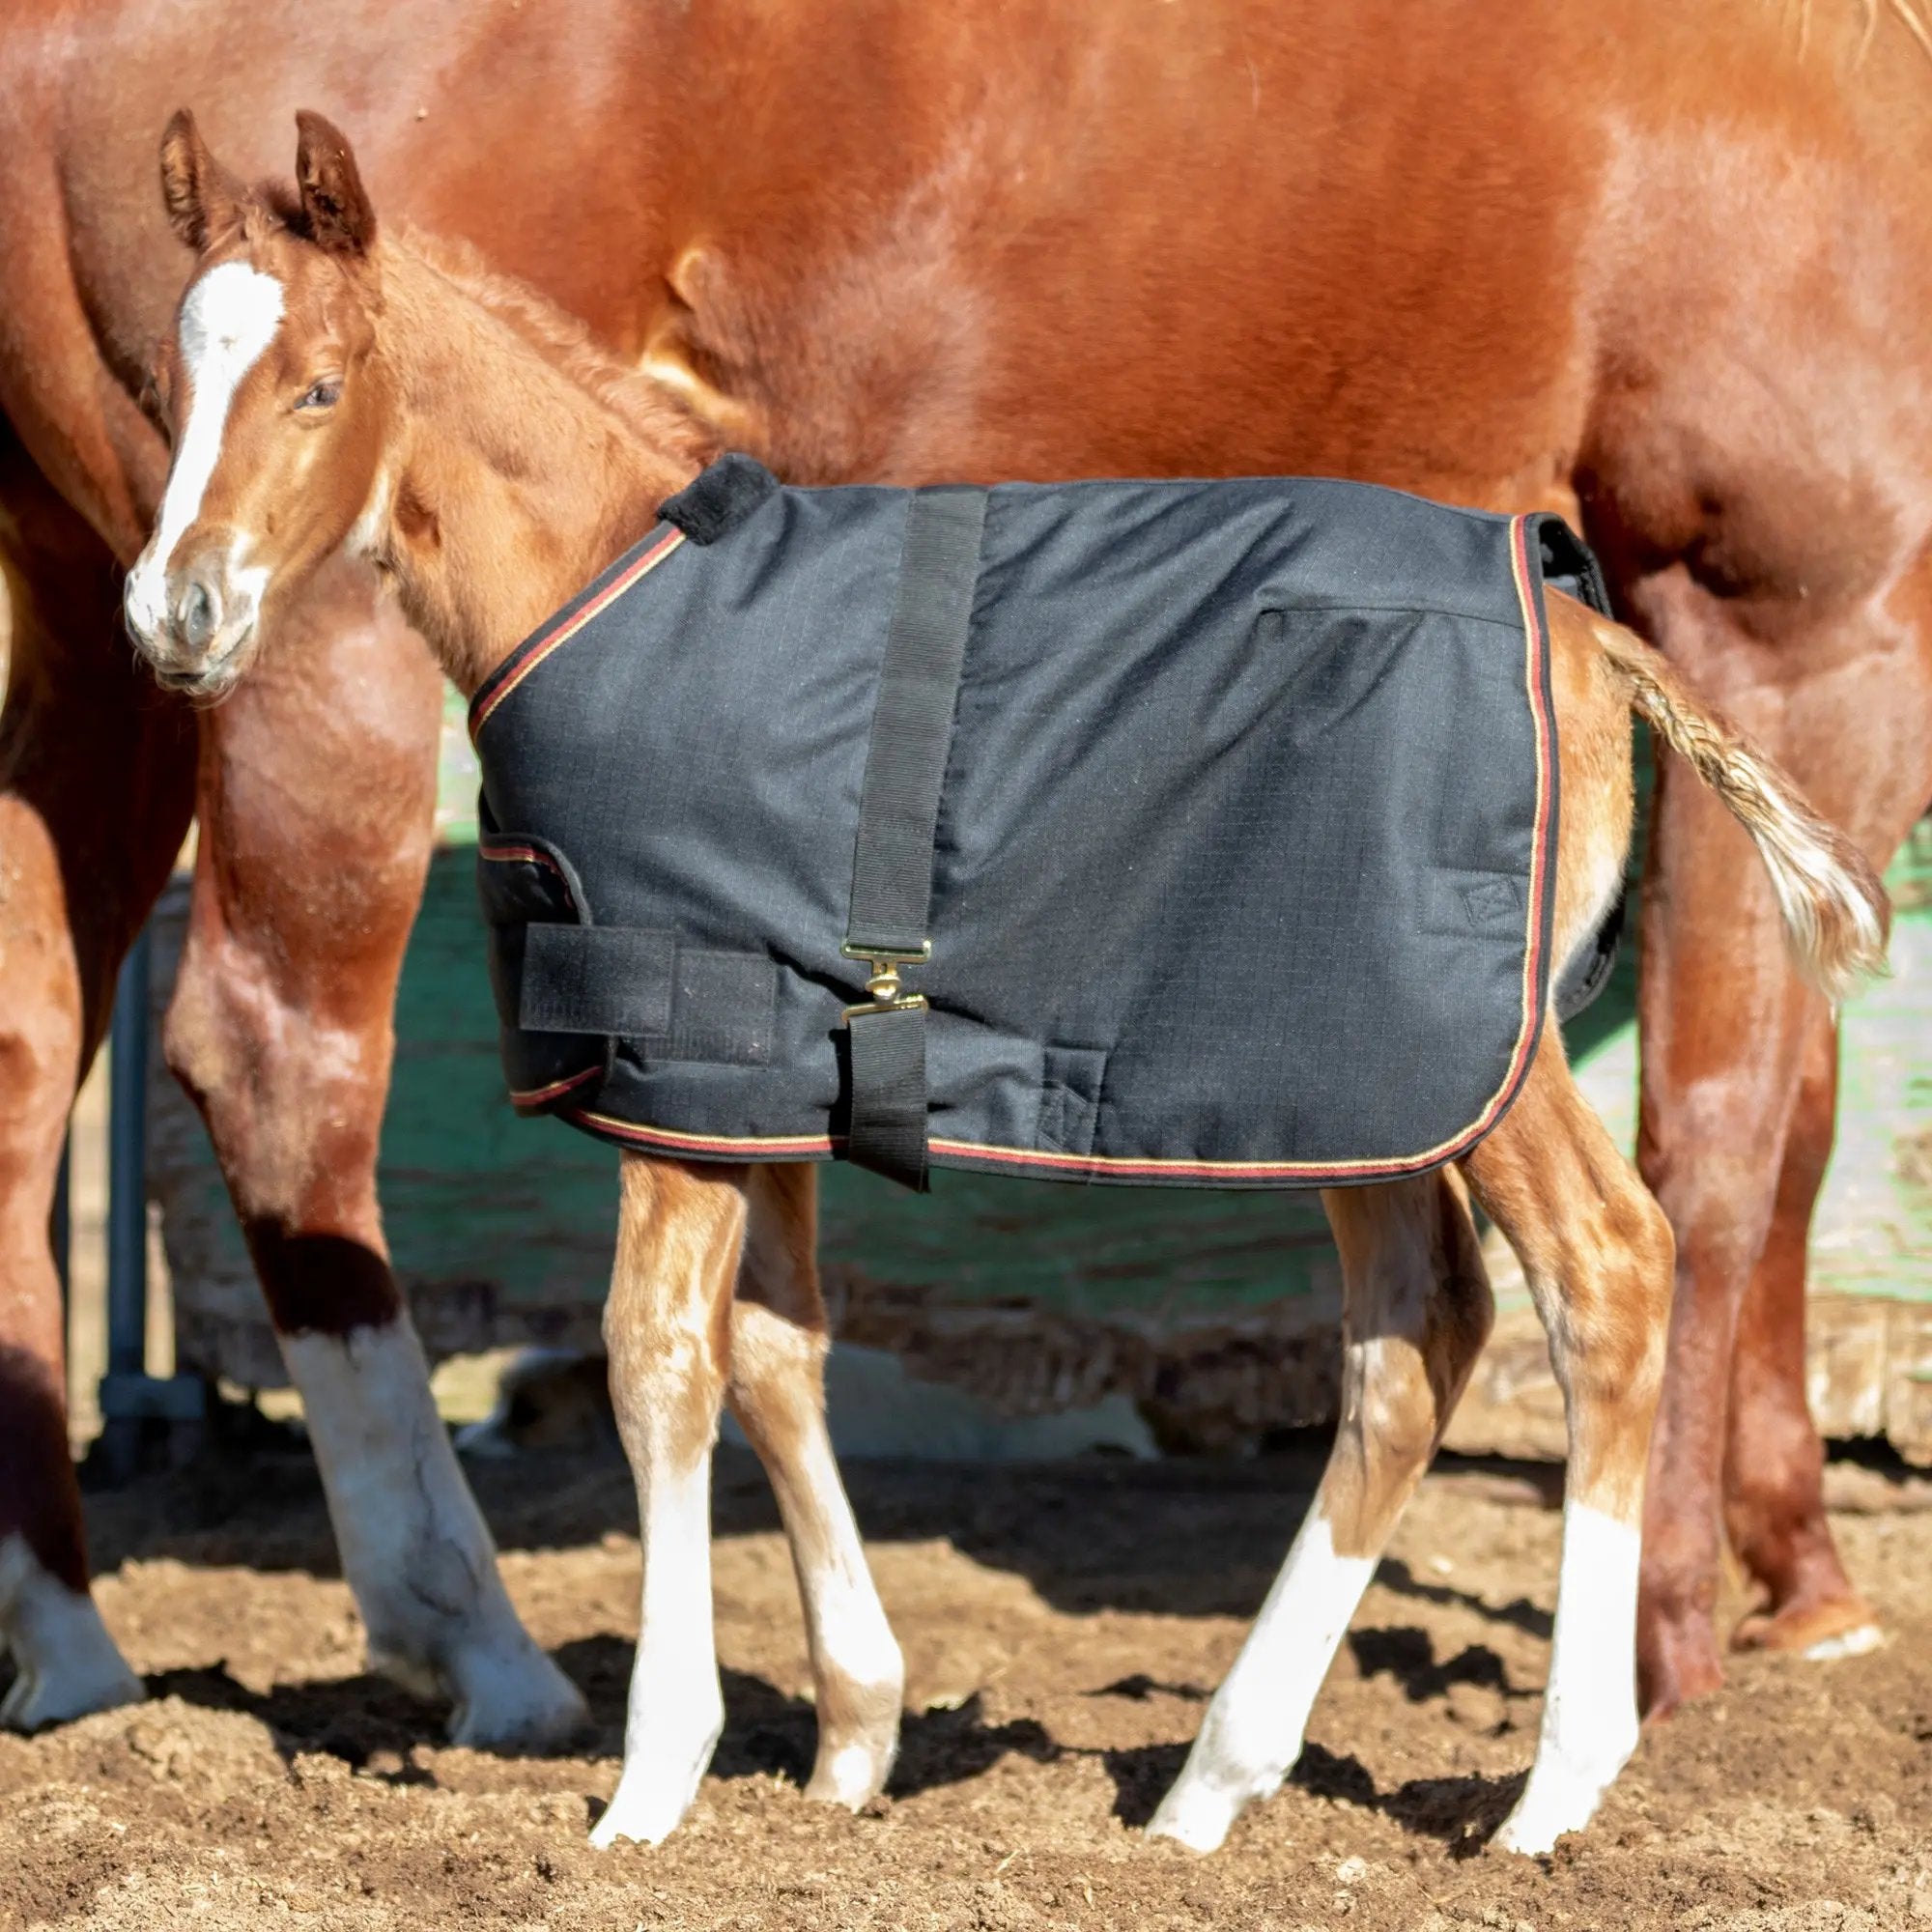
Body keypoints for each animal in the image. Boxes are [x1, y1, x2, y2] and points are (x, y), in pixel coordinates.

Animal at [5, 0, 1931, 1751]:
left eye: (318, 386)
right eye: (196, 378)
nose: (184, 601)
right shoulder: (1794, 618)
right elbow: (1740, 1128)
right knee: (269, 1061)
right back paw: (466, 1647)